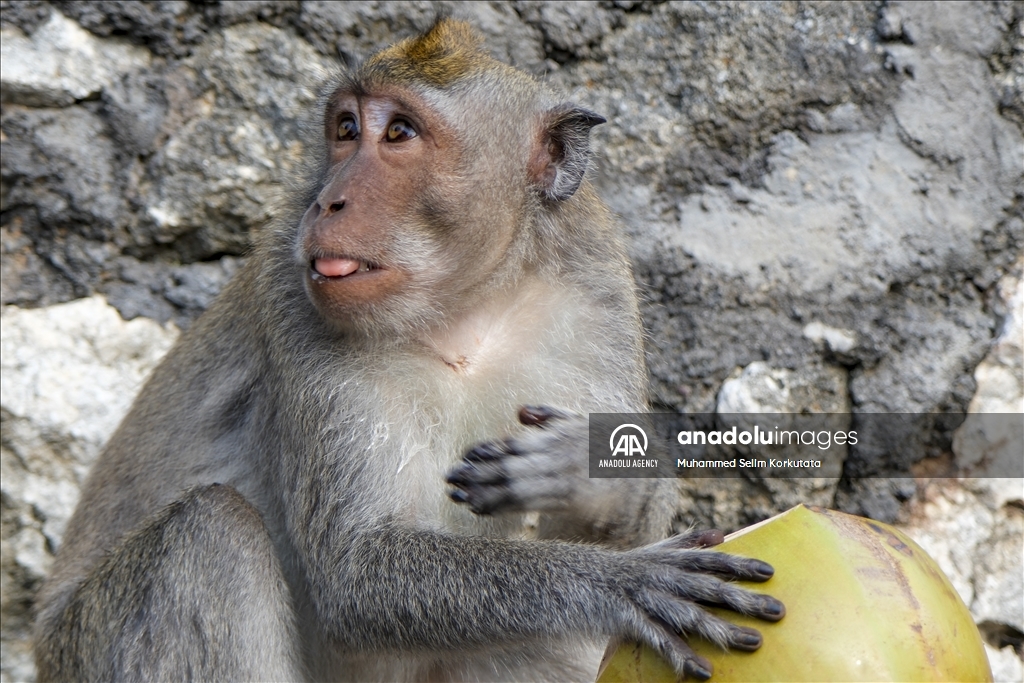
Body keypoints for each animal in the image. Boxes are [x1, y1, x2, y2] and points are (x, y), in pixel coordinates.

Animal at [32, 17, 782, 683]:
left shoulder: (599, 284)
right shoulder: (292, 296)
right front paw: (617, 580)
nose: (329, 202)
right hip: (82, 649)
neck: (463, 309)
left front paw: (584, 472)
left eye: (398, 132)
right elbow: (356, 572)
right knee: (205, 531)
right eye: (345, 129)